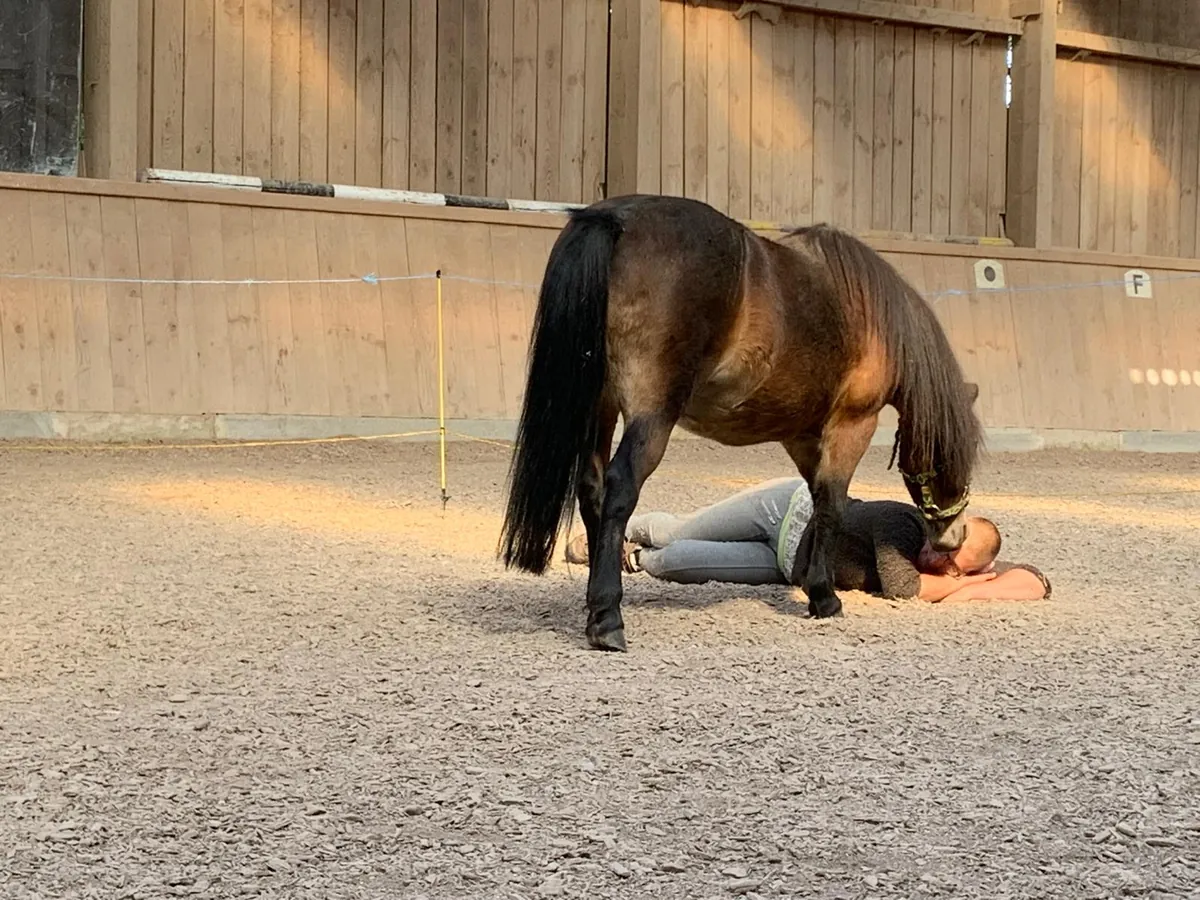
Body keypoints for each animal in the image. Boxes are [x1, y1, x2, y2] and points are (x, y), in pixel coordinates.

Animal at [498, 194, 982, 652]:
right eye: (961, 455)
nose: (954, 536)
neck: (868, 314)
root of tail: (615, 217)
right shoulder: (851, 424)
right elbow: (832, 505)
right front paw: (824, 597)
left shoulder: (801, 435)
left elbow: (816, 500)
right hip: (651, 415)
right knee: (620, 488)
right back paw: (607, 619)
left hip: (602, 408)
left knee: (593, 489)